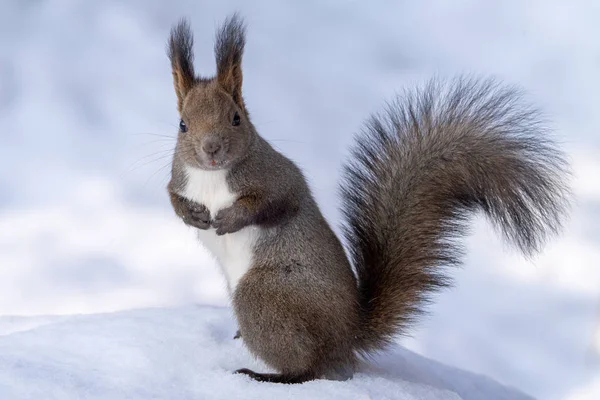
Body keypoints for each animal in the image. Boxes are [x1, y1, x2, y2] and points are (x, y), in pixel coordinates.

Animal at [165, 14, 572, 384]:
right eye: (182, 124)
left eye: (236, 118)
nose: (211, 149)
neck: (211, 178)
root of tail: (346, 338)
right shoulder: (178, 178)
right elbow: (172, 197)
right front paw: (193, 216)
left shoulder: (278, 177)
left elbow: (273, 202)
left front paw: (228, 219)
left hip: (262, 296)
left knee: (311, 369)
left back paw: (267, 375)